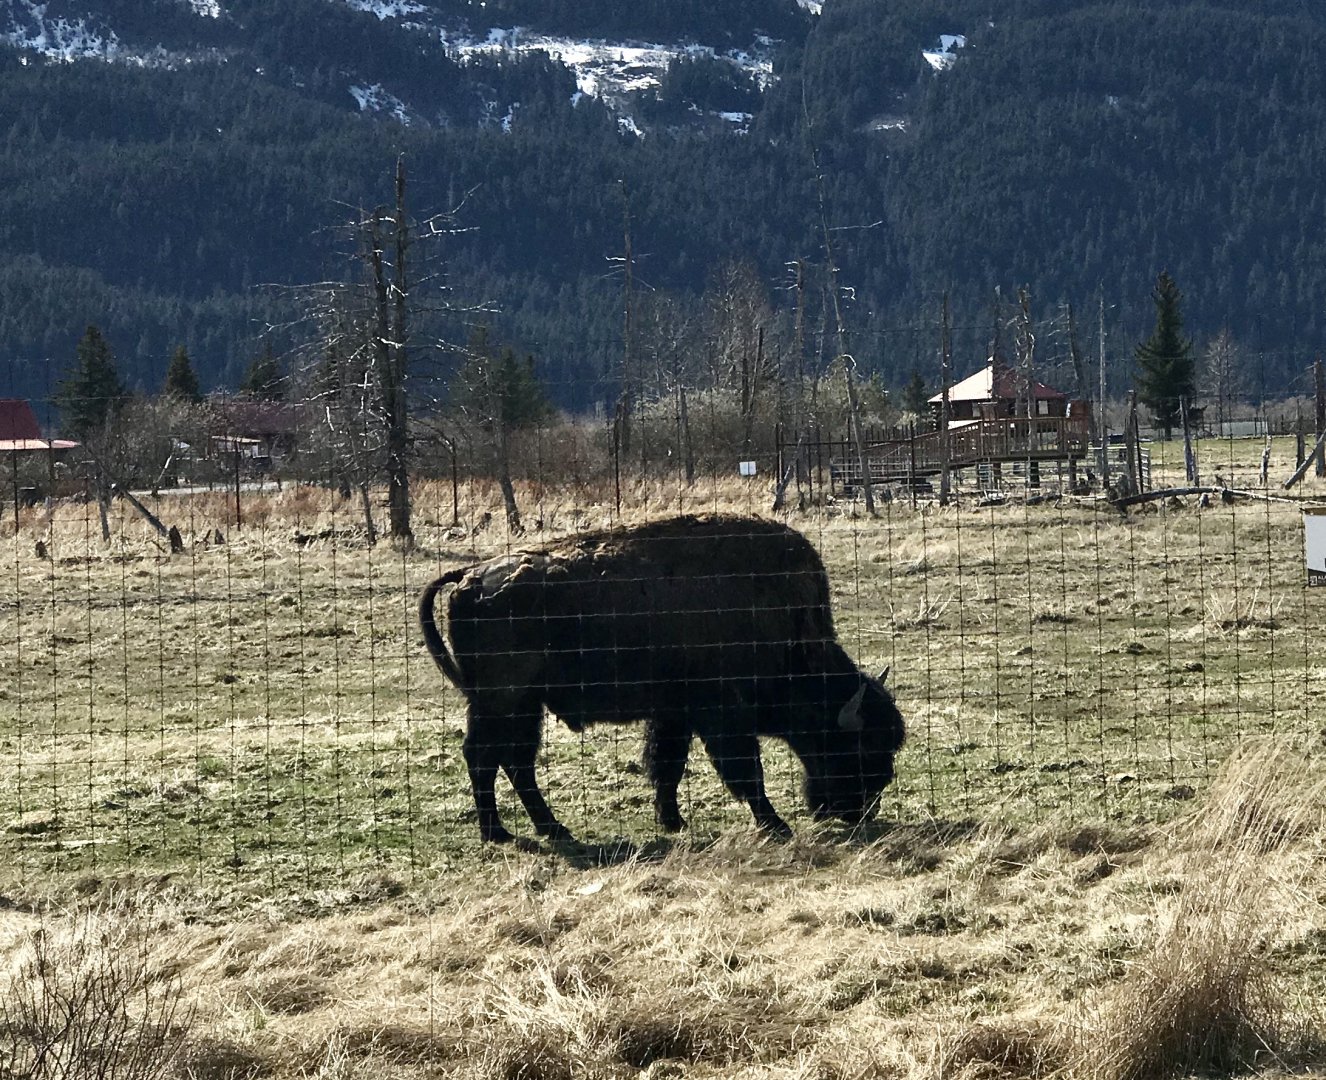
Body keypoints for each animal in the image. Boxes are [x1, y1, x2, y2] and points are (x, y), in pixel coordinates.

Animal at [418, 514, 905, 843]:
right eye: (858, 746)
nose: (860, 810)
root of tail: (469, 577)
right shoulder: (722, 716)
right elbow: (745, 772)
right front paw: (776, 825)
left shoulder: (676, 714)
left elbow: (667, 765)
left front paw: (673, 821)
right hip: (503, 701)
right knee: (485, 757)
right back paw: (499, 832)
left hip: (521, 706)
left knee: (514, 761)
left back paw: (549, 828)